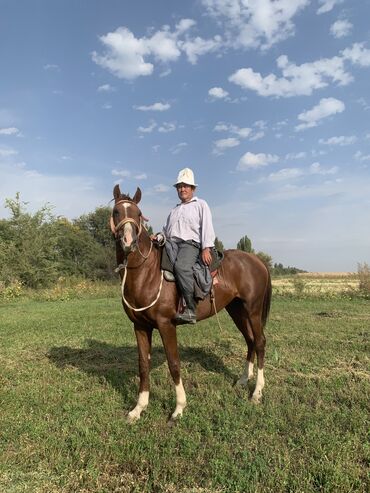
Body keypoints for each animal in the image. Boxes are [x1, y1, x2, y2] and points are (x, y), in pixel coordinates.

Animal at [111, 183, 270, 420]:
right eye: (116, 212)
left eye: (138, 214)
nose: (128, 242)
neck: (147, 272)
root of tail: (257, 260)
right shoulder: (140, 326)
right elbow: (143, 364)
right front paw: (138, 408)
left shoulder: (166, 325)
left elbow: (174, 363)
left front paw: (178, 408)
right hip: (237, 310)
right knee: (250, 340)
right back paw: (243, 381)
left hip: (253, 310)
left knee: (259, 342)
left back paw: (257, 392)